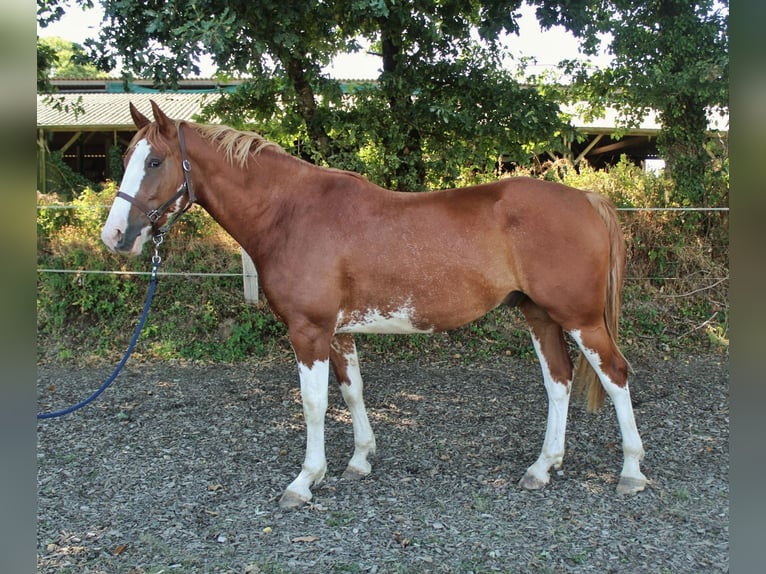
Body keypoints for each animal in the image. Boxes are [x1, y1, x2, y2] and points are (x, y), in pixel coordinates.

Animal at [101, 100, 647, 509]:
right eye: (127, 158)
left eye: (154, 162)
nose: (115, 236)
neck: (291, 213)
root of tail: (587, 199)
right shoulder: (338, 332)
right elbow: (352, 393)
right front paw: (360, 460)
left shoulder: (308, 331)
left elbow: (315, 404)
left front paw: (305, 480)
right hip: (539, 315)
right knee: (558, 381)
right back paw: (542, 467)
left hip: (580, 319)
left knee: (615, 375)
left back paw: (631, 472)